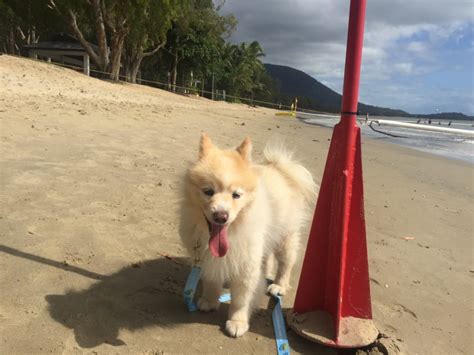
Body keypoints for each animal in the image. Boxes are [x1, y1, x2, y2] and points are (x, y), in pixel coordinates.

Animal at [180, 134, 316, 340]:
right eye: (208, 191)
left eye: (236, 195)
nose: (221, 216)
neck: (231, 233)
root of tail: (280, 169)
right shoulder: (206, 258)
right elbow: (212, 279)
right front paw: (210, 300)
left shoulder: (247, 265)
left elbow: (242, 298)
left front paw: (237, 322)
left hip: (285, 237)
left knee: (286, 262)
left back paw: (279, 285)